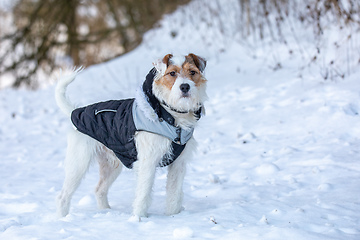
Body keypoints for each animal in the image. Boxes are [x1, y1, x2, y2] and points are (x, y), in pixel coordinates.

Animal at [55, 53, 208, 218]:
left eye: (192, 72)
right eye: (172, 73)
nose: (185, 86)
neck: (170, 116)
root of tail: (75, 111)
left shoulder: (178, 164)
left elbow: (175, 194)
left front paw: (173, 216)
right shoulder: (147, 163)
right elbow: (143, 194)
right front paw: (139, 218)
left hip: (111, 165)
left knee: (99, 190)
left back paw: (106, 212)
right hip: (79, 163)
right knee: (63, 196)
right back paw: (62, 217)